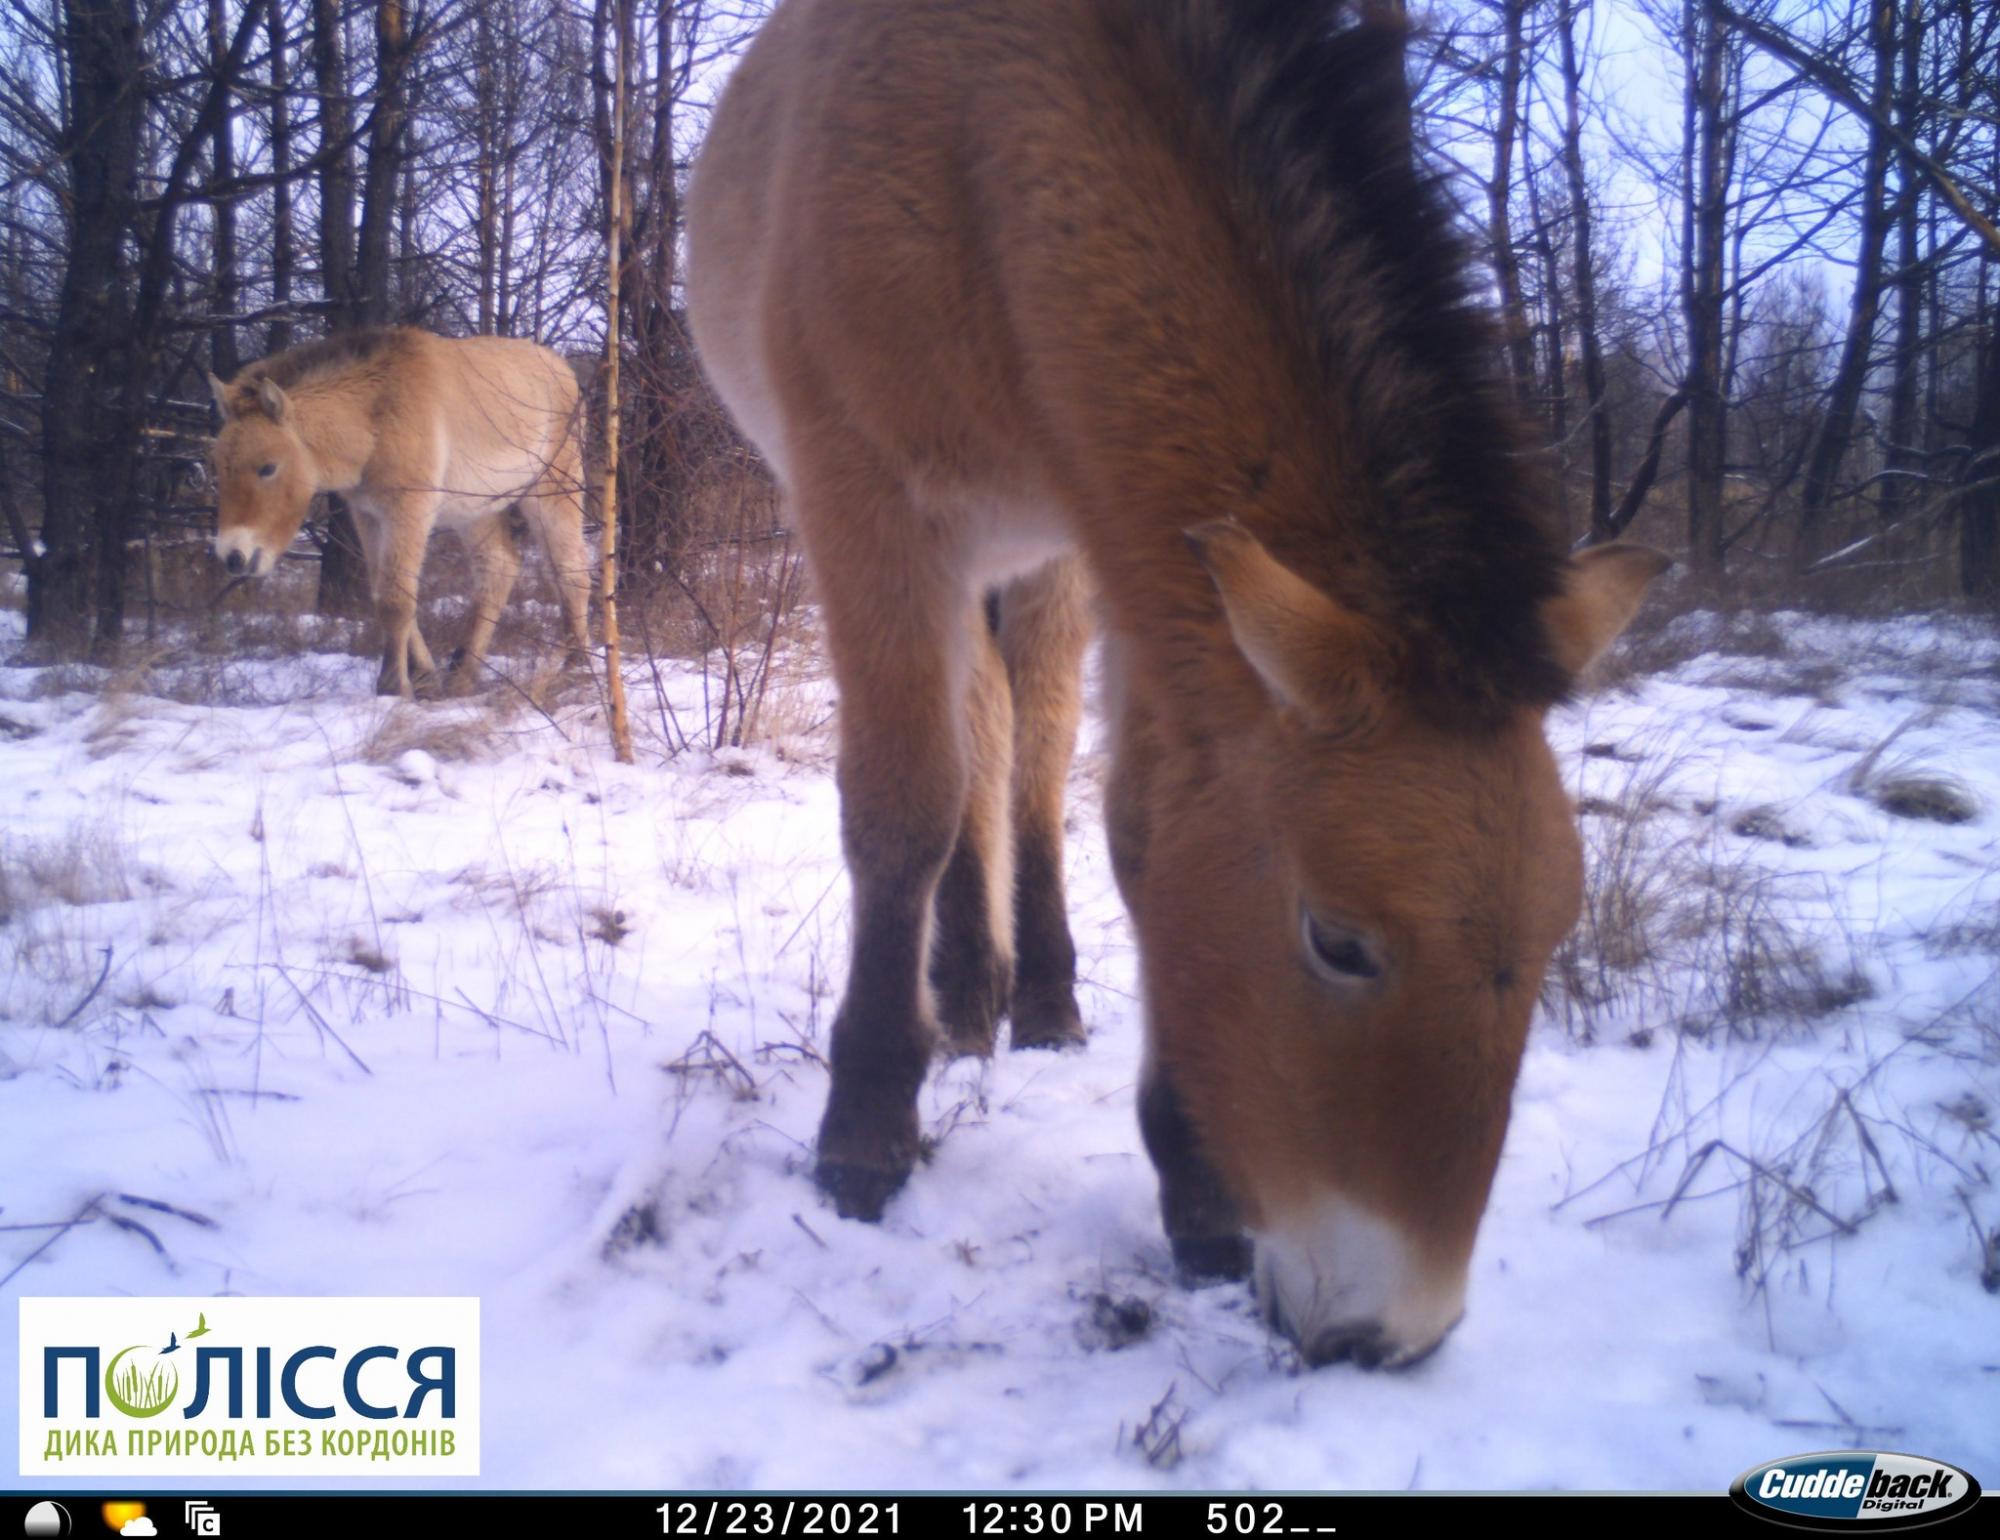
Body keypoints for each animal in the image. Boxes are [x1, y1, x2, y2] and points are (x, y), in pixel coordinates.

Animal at [216, 328, 600, 692]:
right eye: (218, 465)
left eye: (268, 467)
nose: (232, 556)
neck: (374, 417)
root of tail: (565, 370)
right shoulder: (369, 517)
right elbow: (383, 593)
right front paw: (425, 676)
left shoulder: (408, 512)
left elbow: (395, 599)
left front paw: (392, 684)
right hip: (475, 511)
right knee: (498, 568)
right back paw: (462, 674)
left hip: (552, 493)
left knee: (571, 571)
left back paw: (577, 666)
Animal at [692, 0, 1672, 1368]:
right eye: (1336, 942)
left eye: (1551, 934)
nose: (1394, 1332)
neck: (986, 139)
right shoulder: (869, 508)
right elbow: (902, 806)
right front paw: (866, 1130)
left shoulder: (1134, 551)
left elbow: (1142, 832)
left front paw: (1199, 1193)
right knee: (973, 748)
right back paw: (962, 997)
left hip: (1042, 557)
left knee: (1024, 749)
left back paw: (1024, 993)